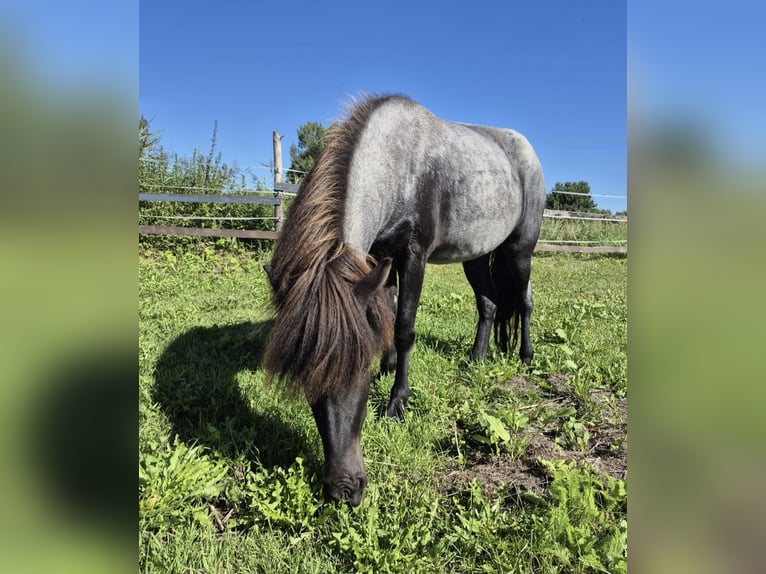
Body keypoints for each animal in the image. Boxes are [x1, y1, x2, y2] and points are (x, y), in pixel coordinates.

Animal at [263, 94, 546, 506]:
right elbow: (385, 313)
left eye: (358, 373)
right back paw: (476, 360)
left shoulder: (413, 255)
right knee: (490, 304)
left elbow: (404, 327)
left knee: (523, 302)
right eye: (306, 377)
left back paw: (525, 357)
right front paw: (388, 367)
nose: (344, 490)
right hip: (476, 255)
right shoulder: (379, 258)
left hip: (519, 250)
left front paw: (397, 402)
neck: (397, 166)